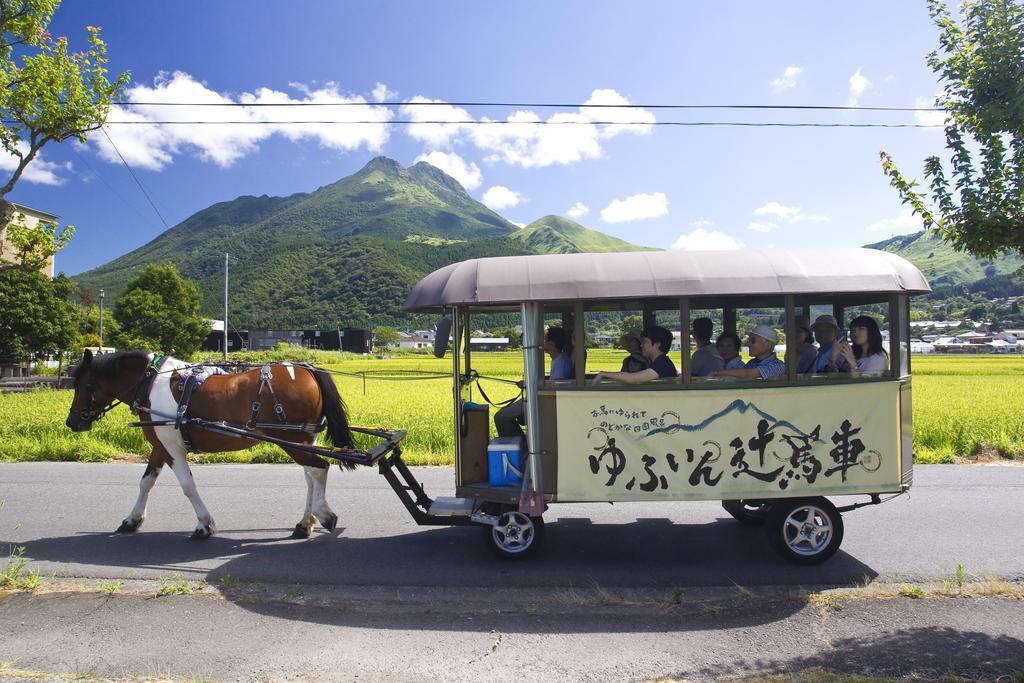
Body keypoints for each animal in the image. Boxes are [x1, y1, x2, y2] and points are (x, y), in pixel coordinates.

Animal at [67, 352, 356, 540]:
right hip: (305, 439)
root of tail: (307, 369)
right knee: (310, 476)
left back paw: (323, 514)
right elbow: (146, 482)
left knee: (319, 468)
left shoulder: (172, 448)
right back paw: (305, 523)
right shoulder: (160, 445)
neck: (149, 384)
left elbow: (187, 486)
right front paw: (132, 520)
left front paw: (204, 525)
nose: (71, 422)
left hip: (293, 441)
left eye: (83, 384)